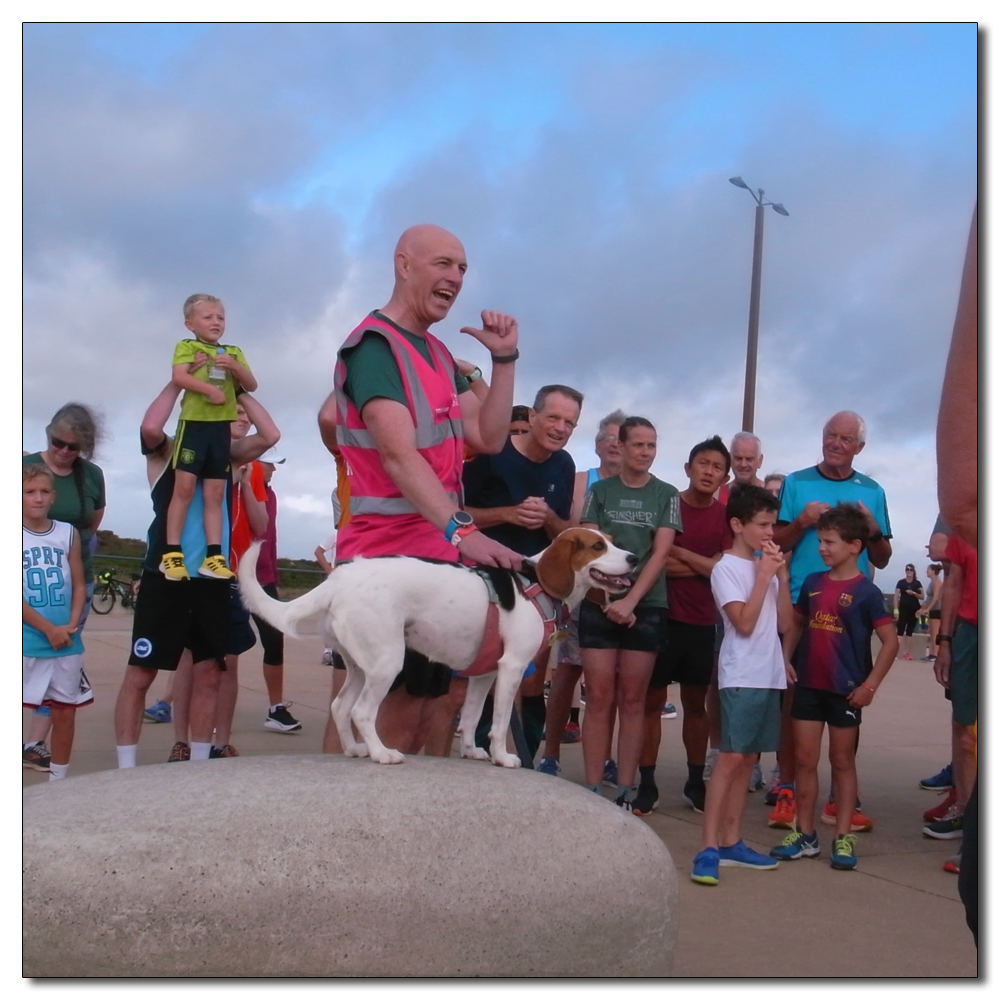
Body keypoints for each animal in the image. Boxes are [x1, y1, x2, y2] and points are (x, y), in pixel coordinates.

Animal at [238, 532, 636, 764]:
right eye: (598, 546)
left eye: (611, 541)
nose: (634, 558)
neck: (535, 582)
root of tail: (340, 578)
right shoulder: (511, 668)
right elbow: (500, 722)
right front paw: (502, 756)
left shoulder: (484, 674)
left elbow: (473, 717)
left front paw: (472, 751)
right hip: (387, 662)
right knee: (363, 711)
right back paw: (382, 753)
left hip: (361, 664)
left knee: (341, 707)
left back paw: (354, 749)